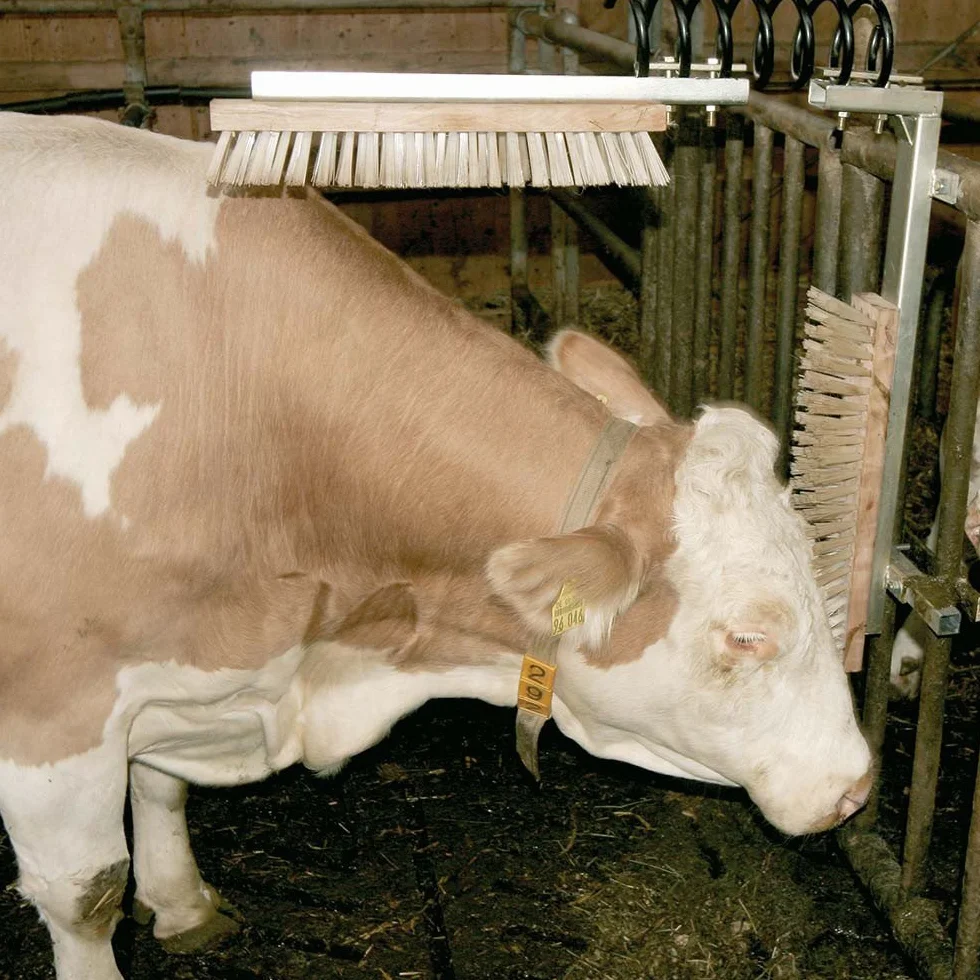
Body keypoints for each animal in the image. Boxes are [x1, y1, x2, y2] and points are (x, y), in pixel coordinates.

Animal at [0, 110, 872, 980]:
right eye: (748, 635)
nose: (857, 787)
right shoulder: (55, 713)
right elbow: (86, 896)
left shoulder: (176, 671)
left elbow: (160, 785)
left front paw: (181, 903)